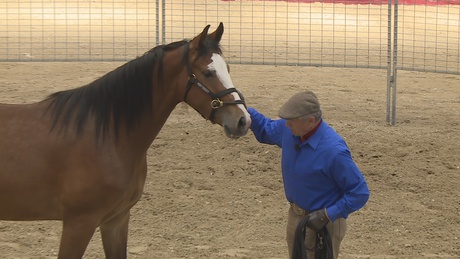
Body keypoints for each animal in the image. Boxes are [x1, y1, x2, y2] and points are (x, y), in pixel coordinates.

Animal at [0, 23, 252, 258]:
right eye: (208, 73)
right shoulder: (78, 224)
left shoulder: (116, 220)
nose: (243, 120)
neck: (106, 137)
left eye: (228, 68)